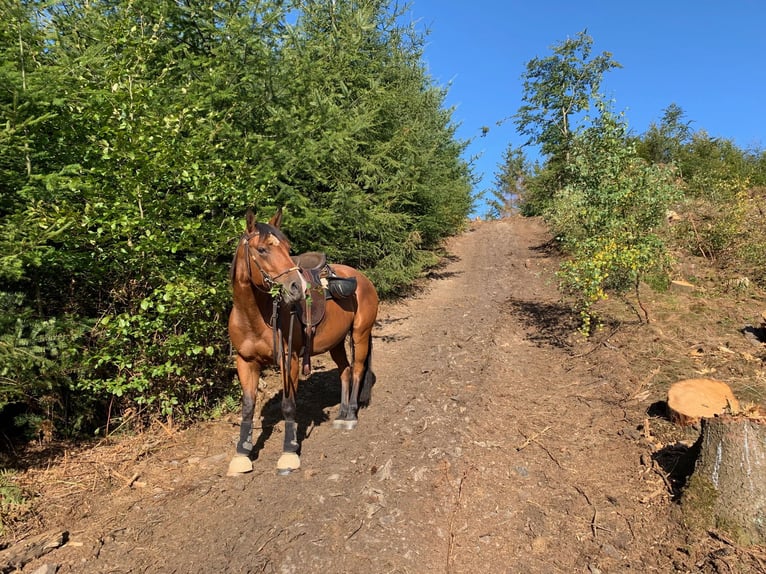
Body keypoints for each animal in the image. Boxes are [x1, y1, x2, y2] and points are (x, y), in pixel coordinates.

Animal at [227, 208, 379, 475]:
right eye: (262, 249)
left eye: (288, 249)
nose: (297, 287)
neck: (253, 316)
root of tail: (362, 278)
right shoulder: (245, 362)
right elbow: (247, 407)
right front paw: (241, 454)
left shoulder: (290, 360)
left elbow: (289, 405)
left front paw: (289, 452)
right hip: (336, 343)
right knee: (345, 371)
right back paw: (341, 413)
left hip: (360, 334)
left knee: (358, 369)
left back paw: (350, 415)